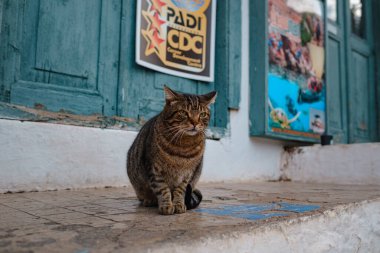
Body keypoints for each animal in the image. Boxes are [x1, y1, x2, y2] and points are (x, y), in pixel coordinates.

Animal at [127, 86, 217, 214]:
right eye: (183, 113)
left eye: (203, 114)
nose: (195, 123)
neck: (184, 145)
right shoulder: (155, 169)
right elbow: (162, 189)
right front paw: (166, 205)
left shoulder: (187, 175)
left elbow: (180, 191)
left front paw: (178, 204)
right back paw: (149, 200)